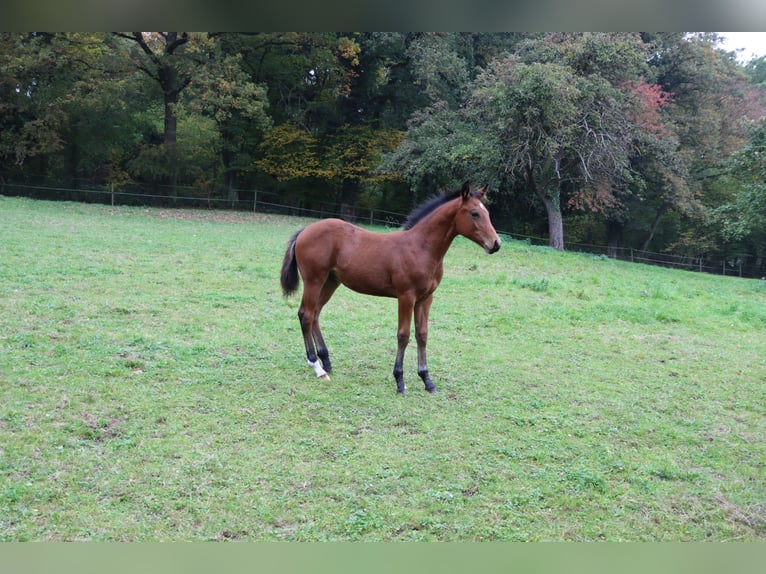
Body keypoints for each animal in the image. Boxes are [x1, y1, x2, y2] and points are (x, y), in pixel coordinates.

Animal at [280, 181, 501, 393]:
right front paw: (400, 381)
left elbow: (422, 335)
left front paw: (427, 380)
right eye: (474, 213)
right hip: (314, 280)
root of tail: (305, 231)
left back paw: (326, 361)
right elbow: (403, 335)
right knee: (306, 315)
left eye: (488, 213)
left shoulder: (426, 298)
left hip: (331, 282)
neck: (421, 247)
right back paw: (317, 367)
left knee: (316, 313)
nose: (496, 244)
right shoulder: (406, 296)